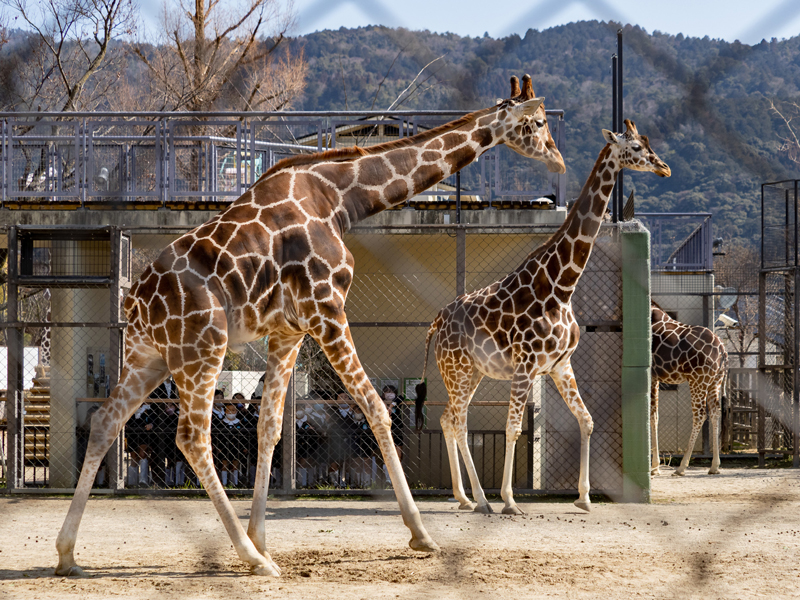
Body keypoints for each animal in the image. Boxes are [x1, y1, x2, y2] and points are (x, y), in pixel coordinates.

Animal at [54, 75, 564, 576]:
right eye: (538, 122)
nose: (558, 161)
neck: (341, 198)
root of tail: (134, 300)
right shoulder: (328, 310)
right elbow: (376, 409)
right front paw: (421, 535)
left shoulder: (289, 331)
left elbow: (271, 428)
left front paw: (264, 536)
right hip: (203, 348)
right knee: (191, 438)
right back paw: (250, 558)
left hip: (151, 357)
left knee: (106, 420)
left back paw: (67, 554)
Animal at [418, 119, 668, 512]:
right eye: (637, 149)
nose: (664, 167)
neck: (562, 287)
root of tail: (437, 322)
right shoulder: (525, 366)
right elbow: (513, 428)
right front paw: (509, 500)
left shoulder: (559, 365)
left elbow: (587, 420)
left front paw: (584, 497)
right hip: (456, 369)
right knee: (458, 421)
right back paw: (483, 500)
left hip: (470, 372)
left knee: (447, 418)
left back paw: (465, 497)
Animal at [652, 304, 728, 478]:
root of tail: (722, 350)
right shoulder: (655, 378)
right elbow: (655, 416)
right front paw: (654, 466)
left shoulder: (649, 376)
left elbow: (651, 416)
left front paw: (654, 467)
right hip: (715, 381)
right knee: (715, 412)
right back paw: (715, 466)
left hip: (697, 380)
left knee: (700, 415)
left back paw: (681, 467)